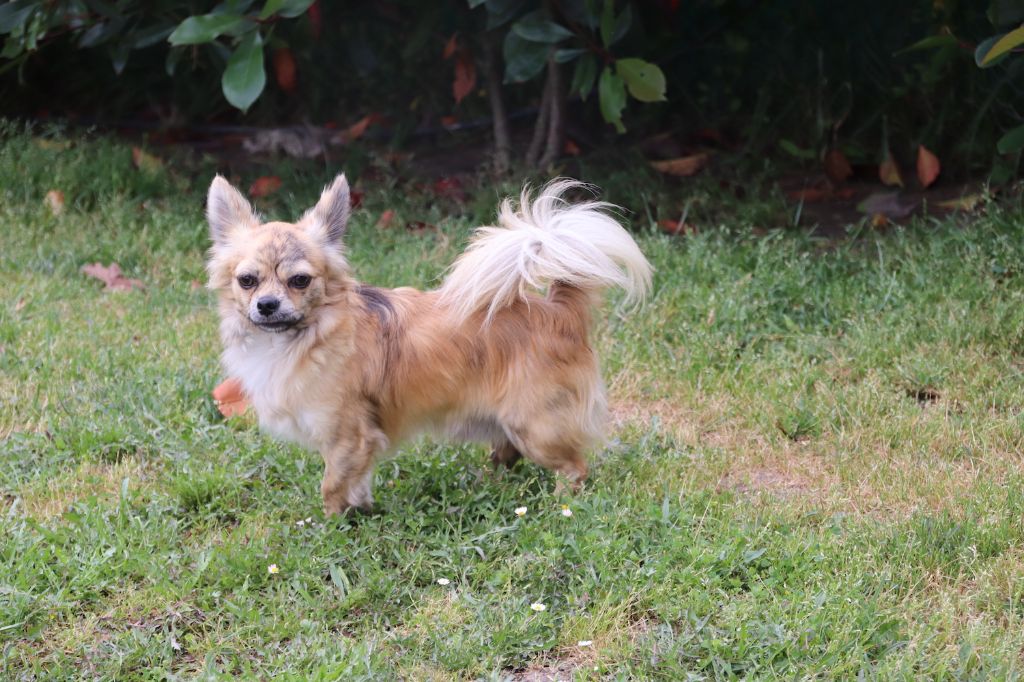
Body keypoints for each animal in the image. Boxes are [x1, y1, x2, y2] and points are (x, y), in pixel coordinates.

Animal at [207, 174, 651, 509]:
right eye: (247, 281)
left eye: (299, 280)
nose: (266, 304)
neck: (307, 336)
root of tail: (559, 309)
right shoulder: (360, 444)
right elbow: (357, 480)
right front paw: (361, 512)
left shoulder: (348, 435)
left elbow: (331, 485)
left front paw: (332, 526)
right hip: (510, 422)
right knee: (507, 455)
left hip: (536, 425)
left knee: (574, 467)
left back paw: (562, 504)